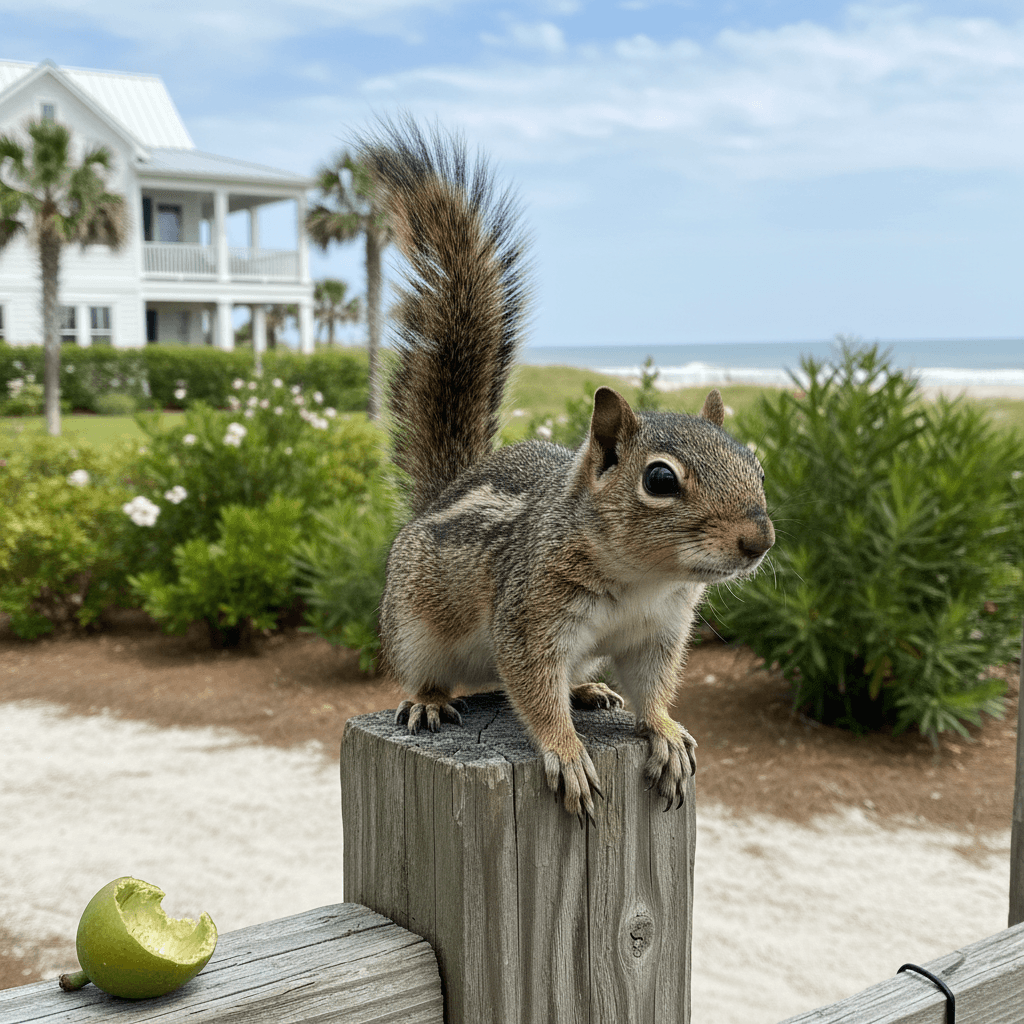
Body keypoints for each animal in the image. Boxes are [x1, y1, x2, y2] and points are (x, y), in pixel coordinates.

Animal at [359, 118, 775, 823]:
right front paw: (566, 750)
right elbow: (532, 688)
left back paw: (590, 694)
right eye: (660, 479)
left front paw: (664, 731)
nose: (759, 540)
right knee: (433, 671)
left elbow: (654, 689)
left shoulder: (659, 634)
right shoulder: (529, 616)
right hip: (413, 623)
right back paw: (430, 701)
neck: (644, 580)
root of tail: (438, 496)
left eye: (757, 467)